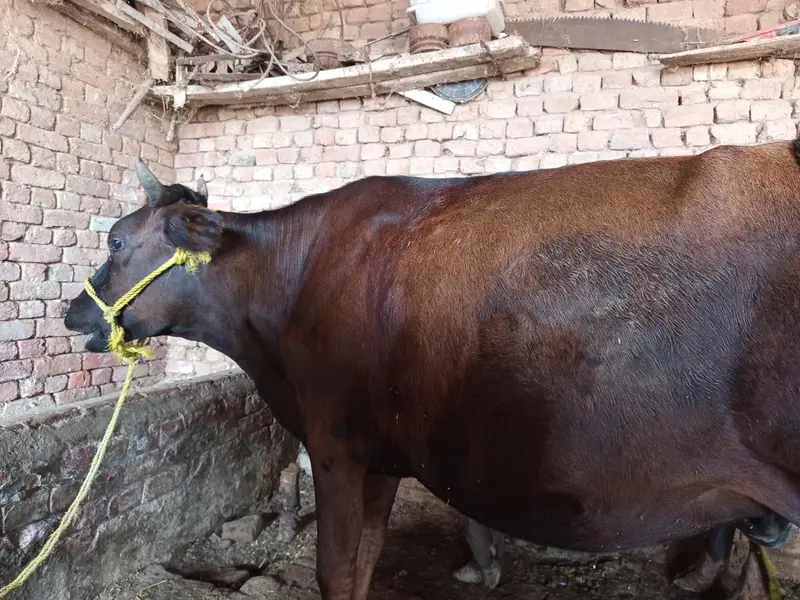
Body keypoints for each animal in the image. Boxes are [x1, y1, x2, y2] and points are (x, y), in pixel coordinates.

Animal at [63, 138, 800, 600]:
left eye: (117, 240)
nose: (75, 311)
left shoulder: (335, 444)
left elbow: (336, 568)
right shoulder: (383, 454)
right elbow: (366, 558)